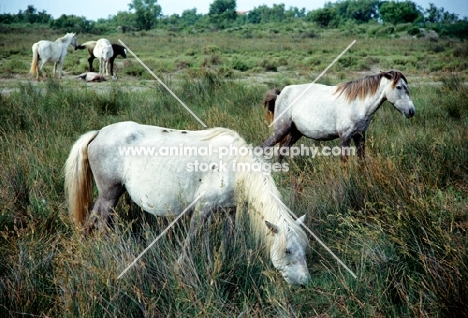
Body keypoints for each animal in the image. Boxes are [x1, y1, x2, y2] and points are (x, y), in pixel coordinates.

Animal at [63, 121, 310, 286]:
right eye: (287, 250)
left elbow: (225, 239)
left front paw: (220, 262)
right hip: (109, 195)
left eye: (304, 248)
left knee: (90, 223)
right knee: (100, 223)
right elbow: (192, 239)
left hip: (109, 196)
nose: (304, 282)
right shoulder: (203, 208)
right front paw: (180, 268)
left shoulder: (229, 210)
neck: (235, 164)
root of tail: (99, 133)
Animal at [262, 69, 414, 159]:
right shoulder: (345, 137)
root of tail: (280, 94)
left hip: (295, 133)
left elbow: (362, 160)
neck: (358, 104)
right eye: (399, 87)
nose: (411, 111)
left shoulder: (360, 136)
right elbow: (344, 161)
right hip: (281, 131)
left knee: (281, 152)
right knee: (263, 148)